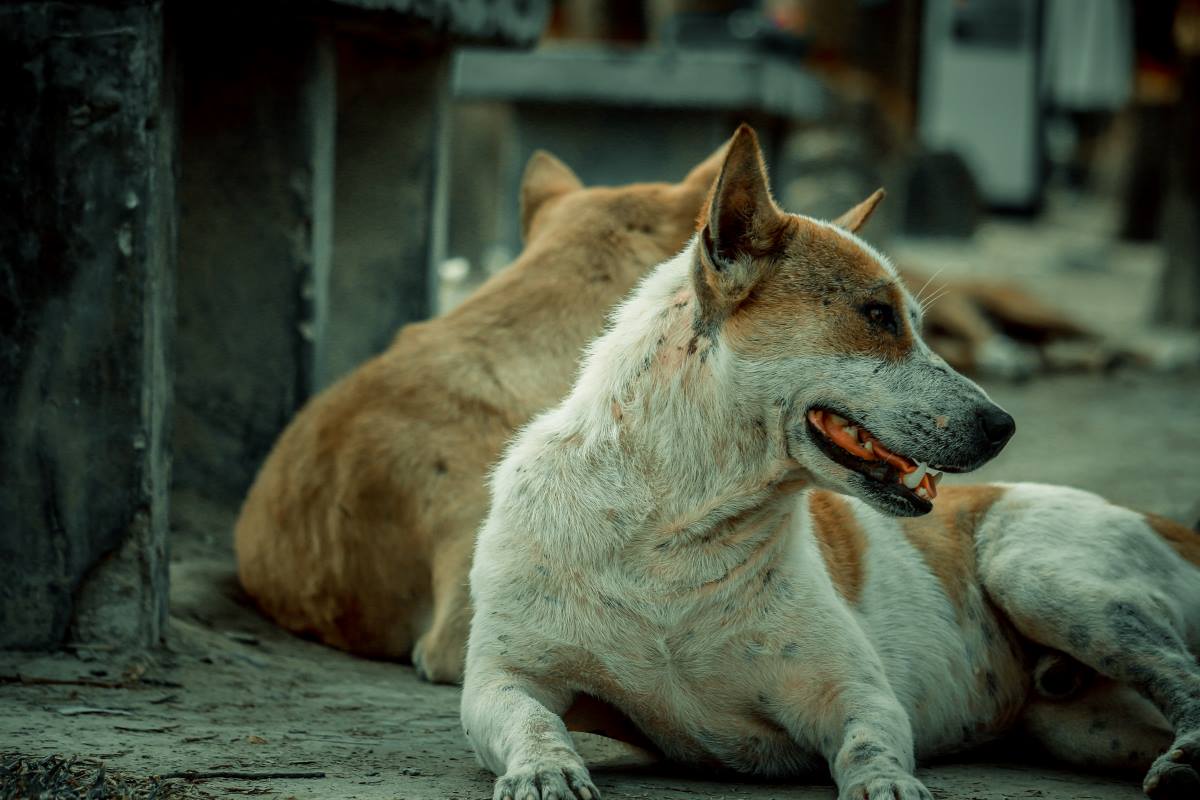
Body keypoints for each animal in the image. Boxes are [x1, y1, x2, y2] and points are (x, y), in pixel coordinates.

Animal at [458, 126, 1200, 800]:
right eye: (877, 315)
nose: (1004, 425)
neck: (673, 533)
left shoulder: (854, 693)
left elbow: (870, 743)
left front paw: (888, 786)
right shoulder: (500, 679)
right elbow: (531, 721)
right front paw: (545, 769)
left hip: (1044, 575)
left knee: (1185, 678)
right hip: (1087, 723)